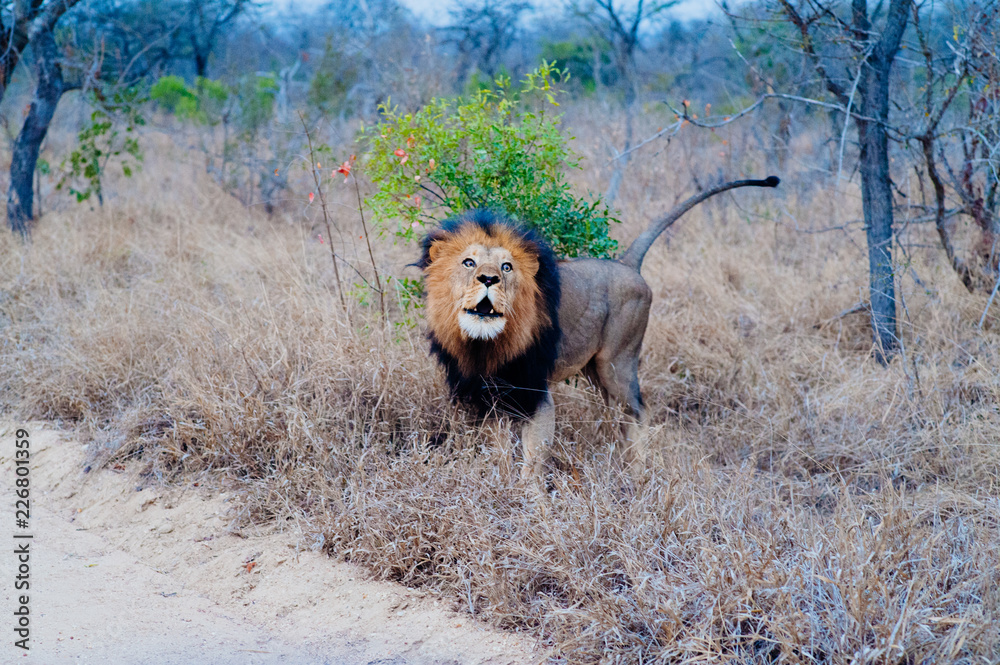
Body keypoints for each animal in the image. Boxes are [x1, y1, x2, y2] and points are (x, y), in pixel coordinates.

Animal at [418, 177, 779, 483]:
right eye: (468, 263)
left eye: (507, 267)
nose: (489, 279)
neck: (485, 343)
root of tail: (626, 264)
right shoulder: (486, 391)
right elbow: (495, 445)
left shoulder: (537, 391)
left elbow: (534, 456)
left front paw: (531, 502)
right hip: (595, 372)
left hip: (615, 364)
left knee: (638, 411)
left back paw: (637, 473)